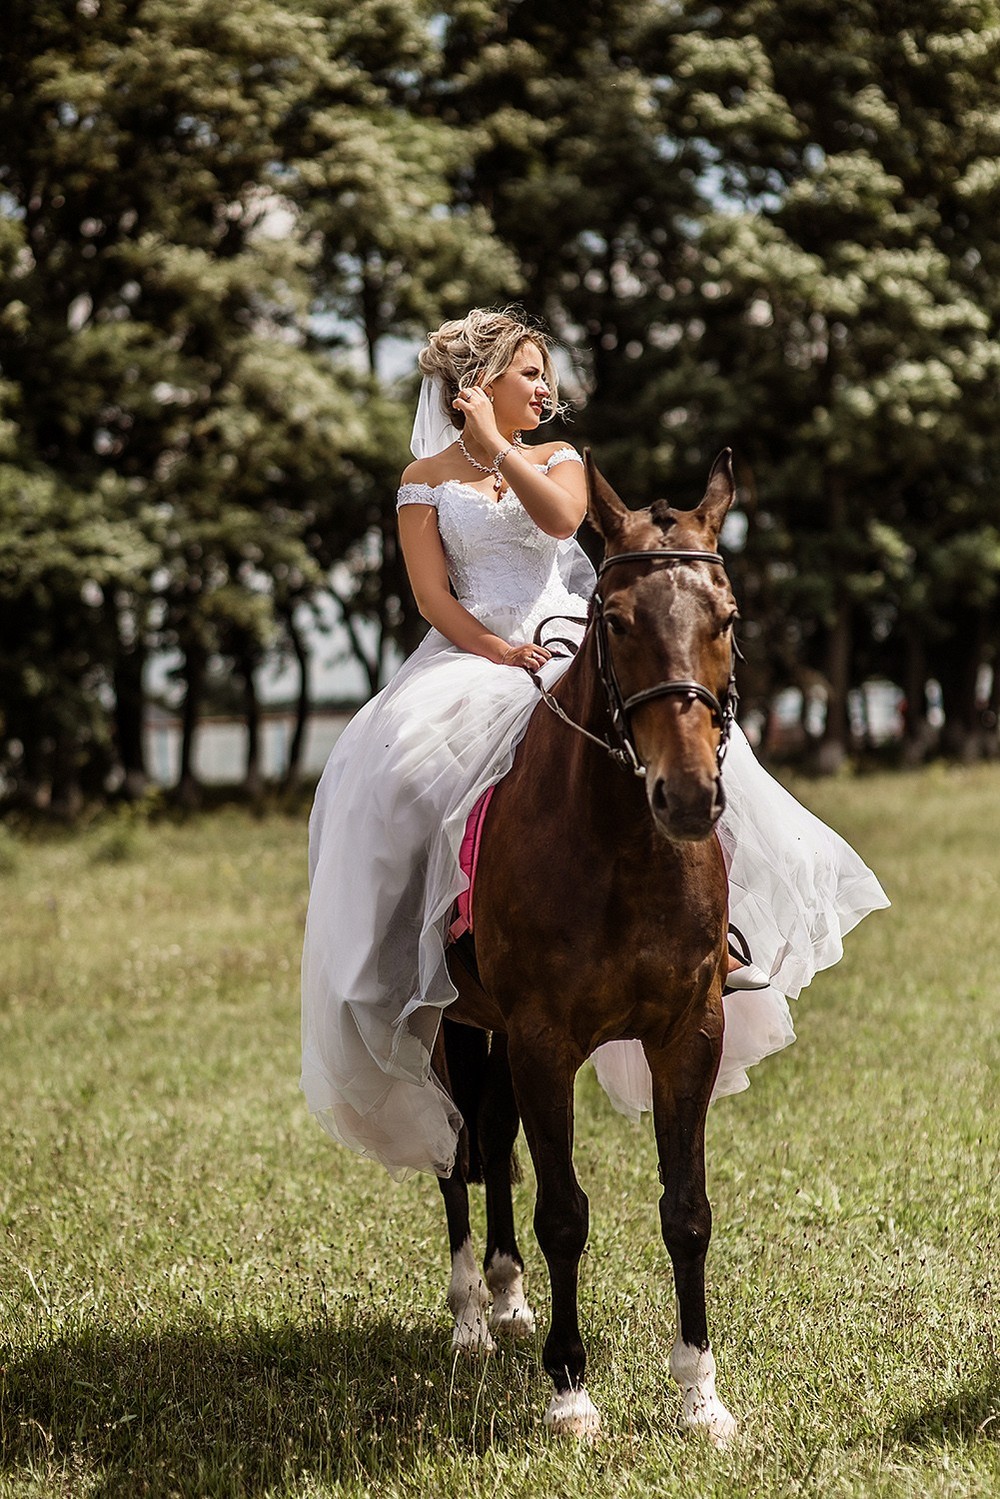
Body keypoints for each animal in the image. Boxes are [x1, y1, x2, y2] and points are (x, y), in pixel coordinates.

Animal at [437, 446, 743, 1439]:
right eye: (616, 619)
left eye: (727, 617)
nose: (687, 796)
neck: (620, 847)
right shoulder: (542, 1038)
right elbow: (564, 1212)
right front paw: (570, 1391)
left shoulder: (689, 1033)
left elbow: (687, 1209)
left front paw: (700, 1394)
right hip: (458, 1023)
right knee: (458, 1156)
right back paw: (469, 1318)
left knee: (493, 1139)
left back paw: (506, 1299)